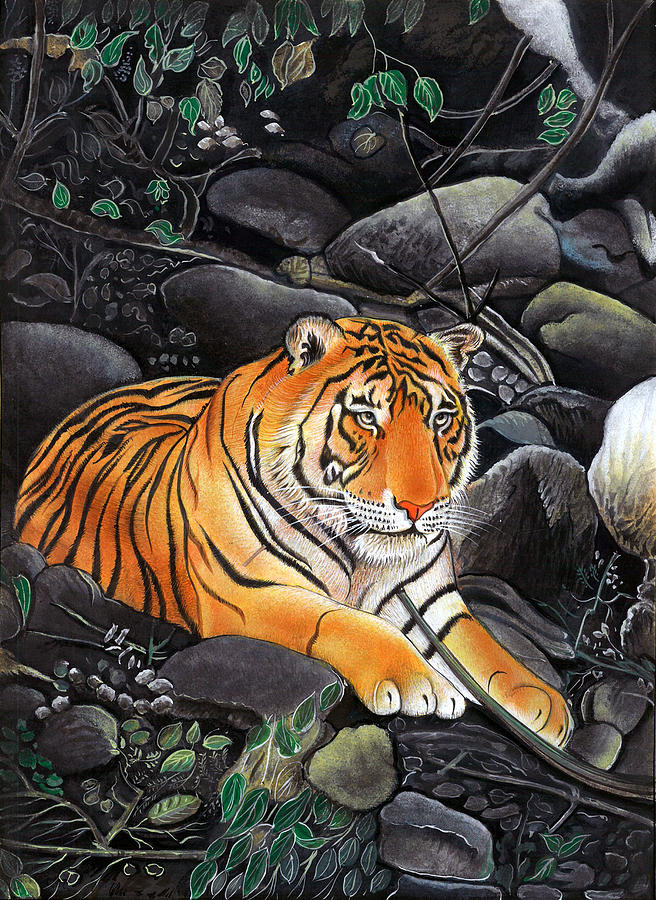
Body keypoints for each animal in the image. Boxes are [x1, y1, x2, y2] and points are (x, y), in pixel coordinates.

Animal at [15, 316, 572, 746]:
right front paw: (421, 682)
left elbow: (478, 644)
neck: (362, 555)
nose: (421, 506)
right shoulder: (250, 593)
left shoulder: (428, 598)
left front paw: (540, 704)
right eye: (366, 417)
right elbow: (343, 623)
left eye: (440, 419)